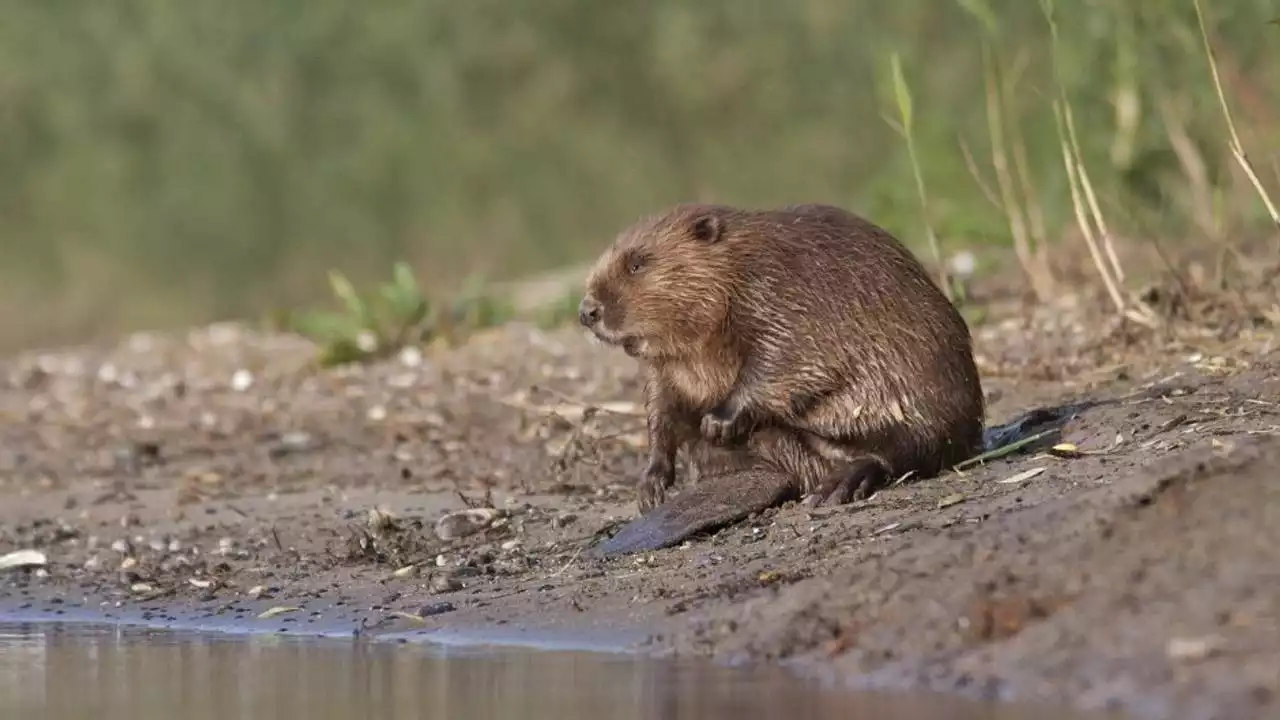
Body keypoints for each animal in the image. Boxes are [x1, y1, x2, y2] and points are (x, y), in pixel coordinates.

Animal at [576, 202, 983, 556]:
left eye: (637, 263)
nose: (587, 311)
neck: (738, 263)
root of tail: (776, 474)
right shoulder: (665, 367)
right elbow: (661, 408)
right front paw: (650, 486)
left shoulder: (780, 292)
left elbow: (784, 358)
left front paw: (718, 422)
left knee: (900, 449)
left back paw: (837, 484)